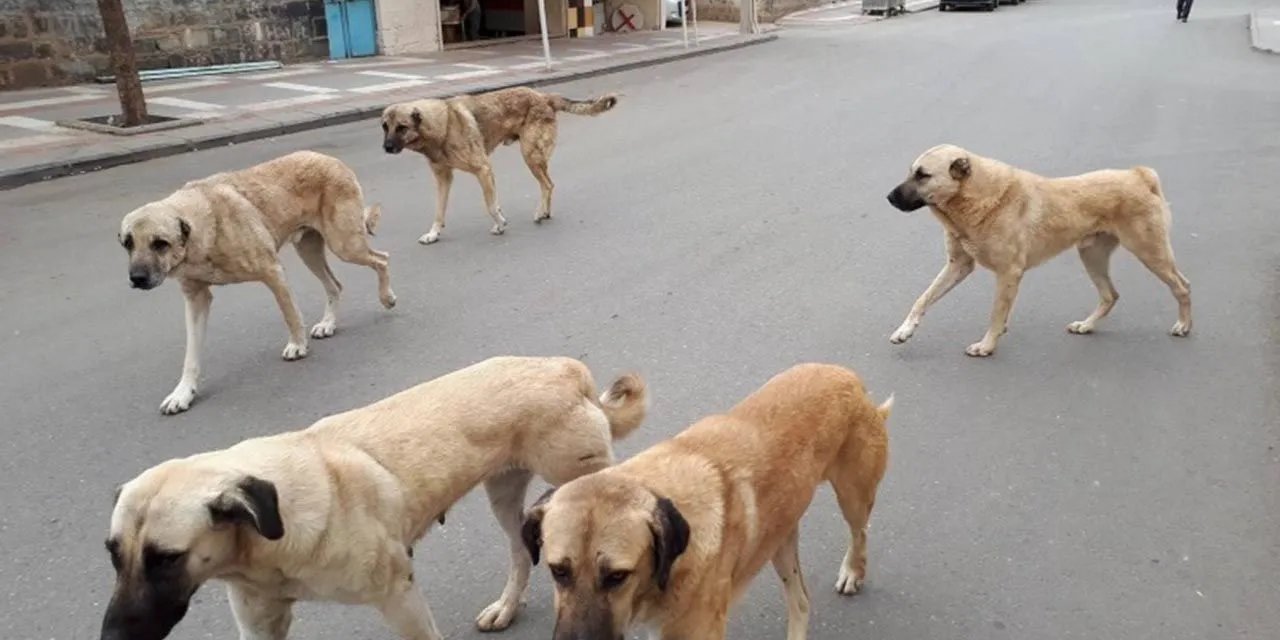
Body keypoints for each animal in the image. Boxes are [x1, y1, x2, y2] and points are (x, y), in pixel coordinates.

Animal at [97, 355, 650, 640]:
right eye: (113, 554)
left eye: (167, 558)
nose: (112, 637)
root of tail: (563, 367)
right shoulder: (260, 620)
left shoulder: (400, 597)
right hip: (504, 494)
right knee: (519, 552)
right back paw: (506, 608)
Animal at [118, 152, 394, 417]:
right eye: (127, 243)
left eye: (160, 243)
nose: (137, 278)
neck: (205, 226)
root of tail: (331, 159)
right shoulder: (196, 299)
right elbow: (191, 355)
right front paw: (183, 393)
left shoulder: (273, 272)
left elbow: (291, 315)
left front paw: (298, 345)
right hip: (309, 249)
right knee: (335, 285)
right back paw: (328, 323)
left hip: (345, 244)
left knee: (382, 259)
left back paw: (387, 297)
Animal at [378, 85, 619, 244]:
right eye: (384, 126)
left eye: (402, 127)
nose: (386, 147)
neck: (442, 125)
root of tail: (544, 96)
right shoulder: (443, 178)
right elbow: (440, 210)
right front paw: (434, 233)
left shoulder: (483, 169)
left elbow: (490, 205)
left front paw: (500, 224)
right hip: (534, 157)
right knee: (547, 185)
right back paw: (545, 212)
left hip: (530, 156)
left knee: (548, 185)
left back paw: (540, 212)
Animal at [519, 363, 890, 640]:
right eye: (558, 571)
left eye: (617, 576)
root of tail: (850, 378)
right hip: (781, 539)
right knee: (801, 601)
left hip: (854, 496)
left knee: (860, 531)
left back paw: (853, 571)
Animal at [885, 142, 1192, 358]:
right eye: (911, 172)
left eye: (923, 175)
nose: (888, 198)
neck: (977, 198)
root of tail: (1139, 175)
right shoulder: (958, 265)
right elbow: (922, 299)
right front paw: (904, 330)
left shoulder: (1008, 273)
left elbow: (995, 313)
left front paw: (987, 345)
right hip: (1092, 255)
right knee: (1110, 295)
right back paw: (1086, 325)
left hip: (1150, 252)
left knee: (1182, 286)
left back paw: (1184, 325)